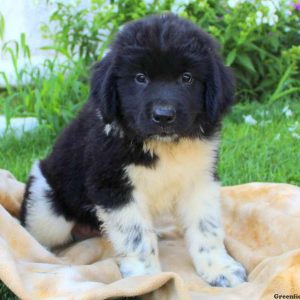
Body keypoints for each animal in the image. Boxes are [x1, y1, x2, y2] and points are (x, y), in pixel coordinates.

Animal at [20, 14, 246, 288]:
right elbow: (136, 237)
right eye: (140, 78)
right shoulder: (114, 187)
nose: (164, 116)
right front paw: (147, 278)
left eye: (187, 78)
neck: (162, 146)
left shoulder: (200, 179)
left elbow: (206, 227)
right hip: (48, 208)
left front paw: (220, 269)